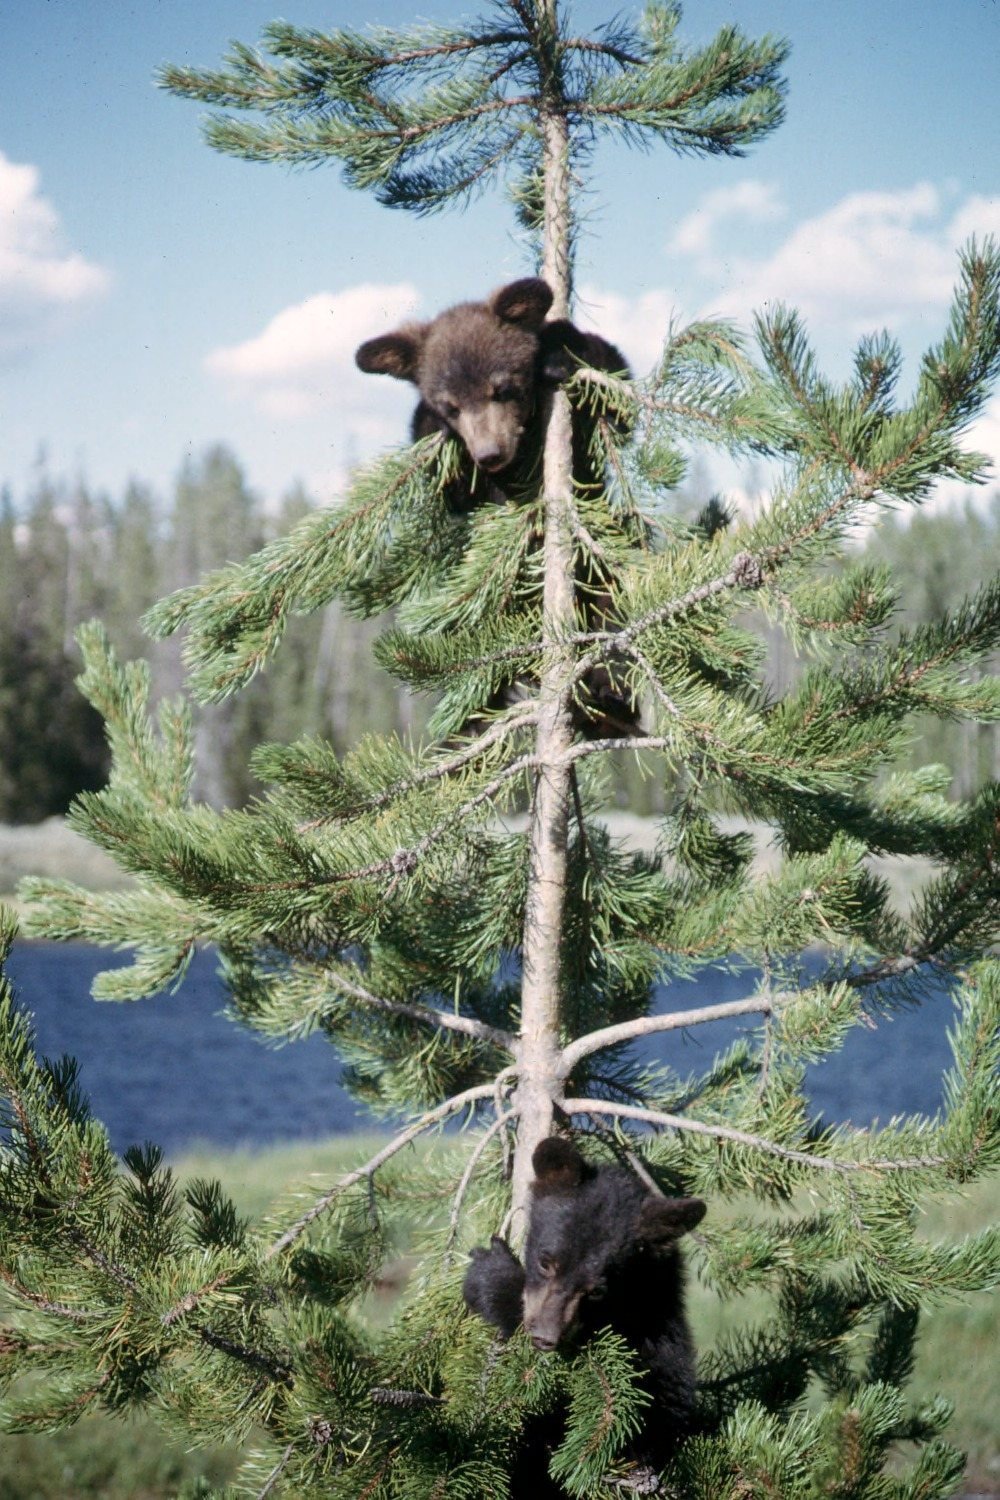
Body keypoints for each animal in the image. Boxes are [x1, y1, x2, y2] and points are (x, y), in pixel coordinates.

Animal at [354, 276, 631, 513]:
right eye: (451, 408)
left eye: (502, 390)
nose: (489, 455)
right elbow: (456, 494)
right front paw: (434, 429)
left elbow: (619, 414)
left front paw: (558, 352)